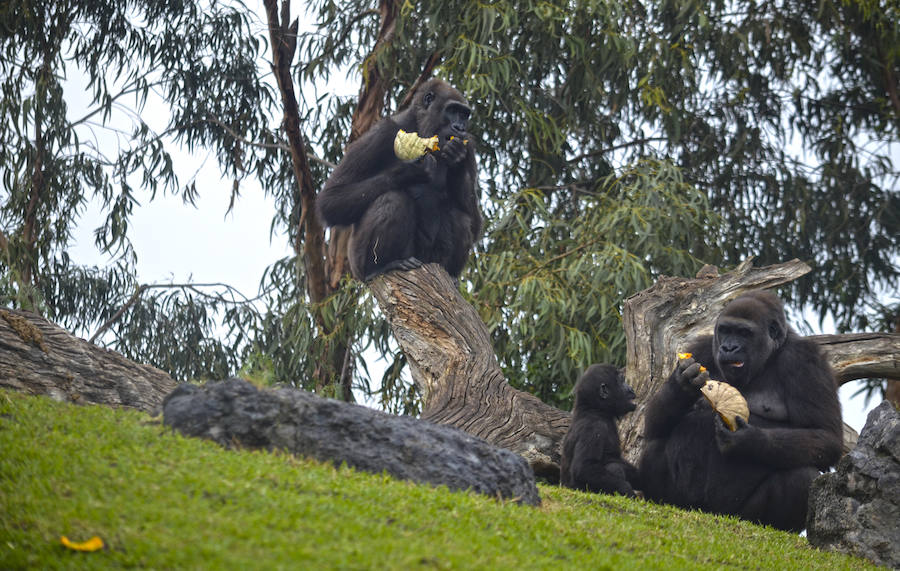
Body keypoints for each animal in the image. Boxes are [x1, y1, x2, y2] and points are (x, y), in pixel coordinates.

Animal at [318, 78, 482, 284]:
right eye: (452, 111)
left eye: (464, 115)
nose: (460, 128)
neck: (421, 128)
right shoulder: (381, 132)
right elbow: (330, 200)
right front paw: (409, 171)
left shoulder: (470, 145)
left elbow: (474, 222)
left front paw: (456, 160)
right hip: (357, 266)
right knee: (393, 200)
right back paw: (379, 267)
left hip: (429, 259)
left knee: (460, 217)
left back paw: (450, 274)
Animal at [564, 366, 640, 496]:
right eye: (622, 381)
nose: (631, 389)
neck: (595, 410)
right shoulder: (594, 428)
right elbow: (584, 468)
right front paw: (627, 490)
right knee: (614, 467)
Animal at [640, 290, 844, 532]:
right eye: (725, 330)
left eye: (744, 333)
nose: (729, 348)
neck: (769, 356)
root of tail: (709, 513)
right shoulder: (701, 347)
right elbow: (653, 424)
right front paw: (682, 383)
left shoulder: (805, 359)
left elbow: (826, 435)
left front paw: (747, 439)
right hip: (687, 504)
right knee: (654, 446)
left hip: (737, 514)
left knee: (803, 476)